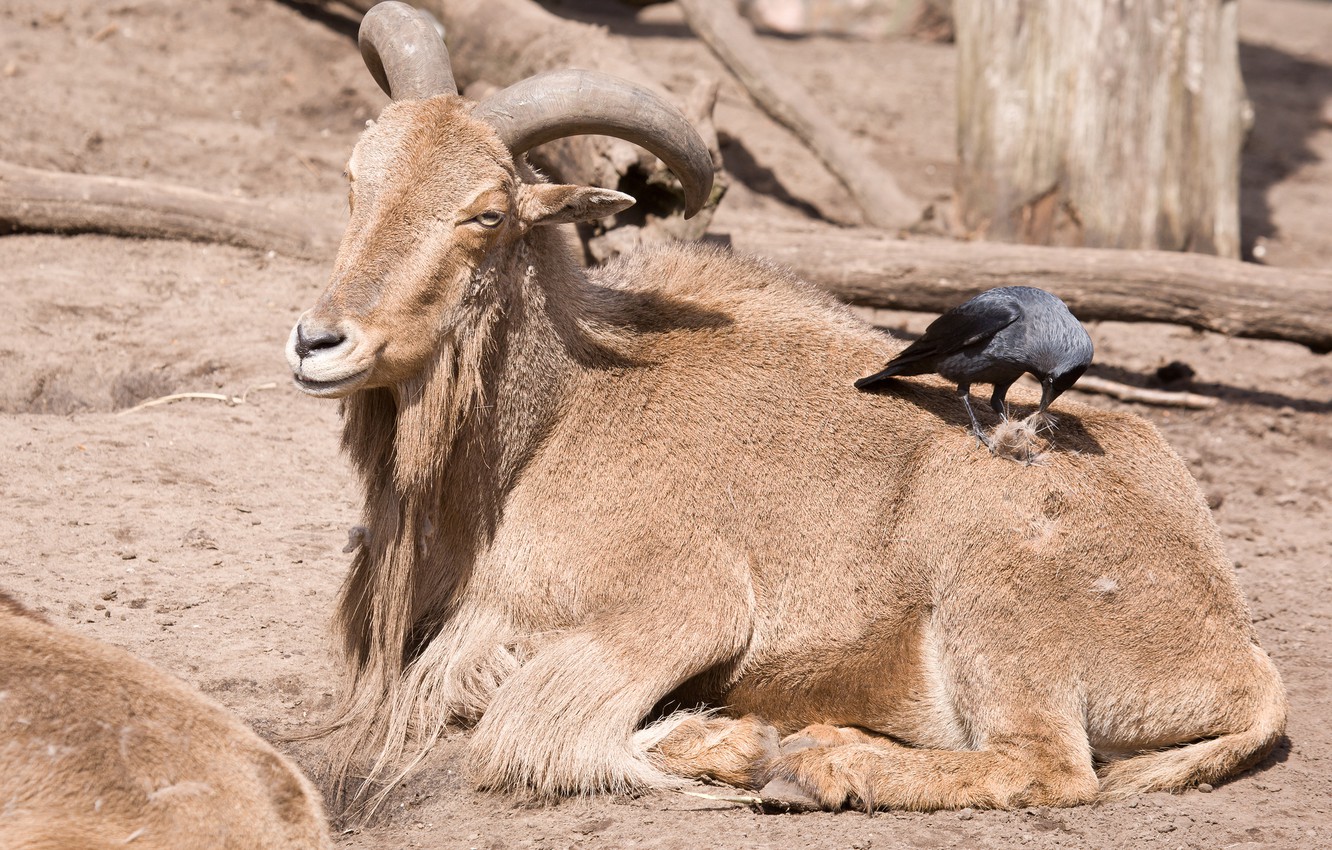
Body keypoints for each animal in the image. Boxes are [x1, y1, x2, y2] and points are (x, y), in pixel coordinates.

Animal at [287, 1, 1285, 813]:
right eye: (356, 179)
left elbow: (526, 731)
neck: (551, 424)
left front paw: (734, 745)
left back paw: (820, 766)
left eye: (485, 212)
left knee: (1043, 766)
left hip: (998, 593)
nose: (318, 341)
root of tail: (1235, 656)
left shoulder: (677, 604)